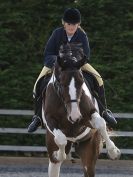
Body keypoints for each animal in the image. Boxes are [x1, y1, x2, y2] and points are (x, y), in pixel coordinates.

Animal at [41, 43, 120, 177]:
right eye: (61, 83)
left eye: (82, 81)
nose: (75, 116)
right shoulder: (50, 119)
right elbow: (60, 139)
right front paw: (60, 155)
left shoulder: (88, 116)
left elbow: (101, 123)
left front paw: (113, 151)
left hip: (89, 149)